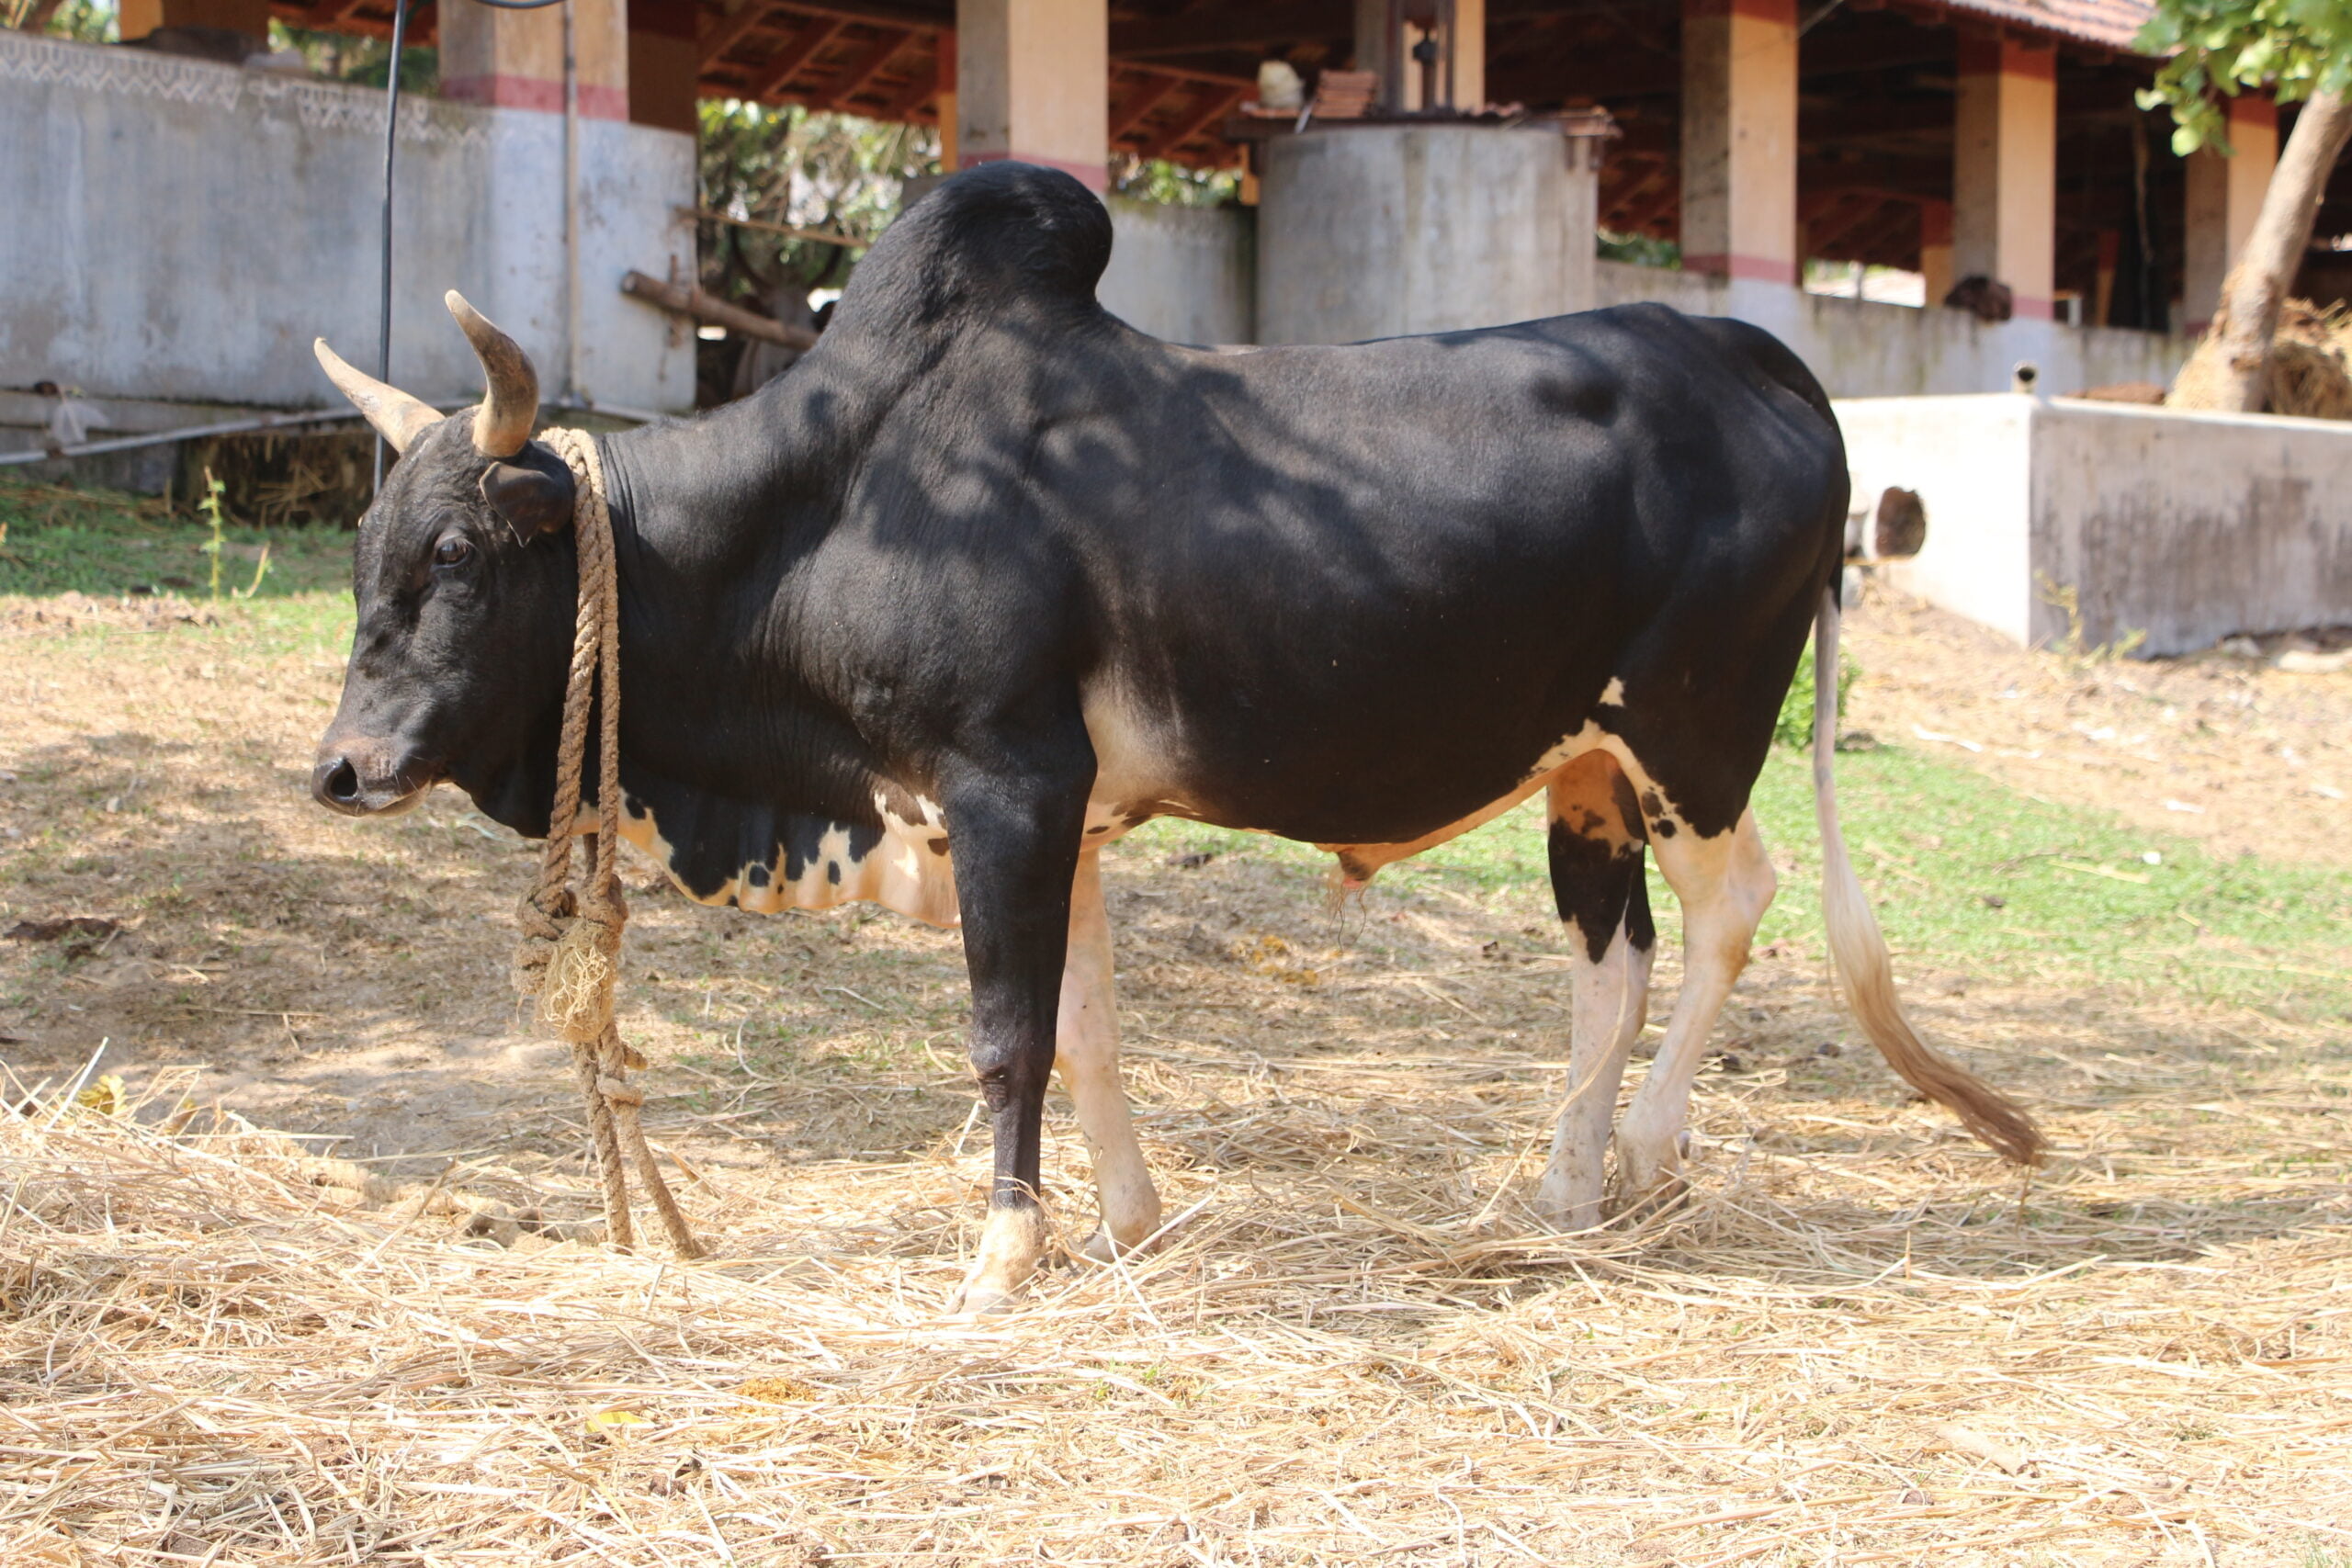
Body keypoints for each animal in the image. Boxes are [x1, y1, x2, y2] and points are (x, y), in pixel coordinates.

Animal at [312, 162, 2041, 1316]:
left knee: (1736, 908)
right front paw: (1127, 1220)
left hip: (1693, 733)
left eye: (456, 554)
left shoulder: (1006, 782)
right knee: (1608, 964)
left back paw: (1651, 1151)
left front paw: (1004, 1257)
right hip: (1586, 774)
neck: (836, 502)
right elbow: (1086, 1028)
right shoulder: (1055, 814)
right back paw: (1557, 1189)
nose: (342, 764)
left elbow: (1011, 1034)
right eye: (364, 548)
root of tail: (1757, 355)